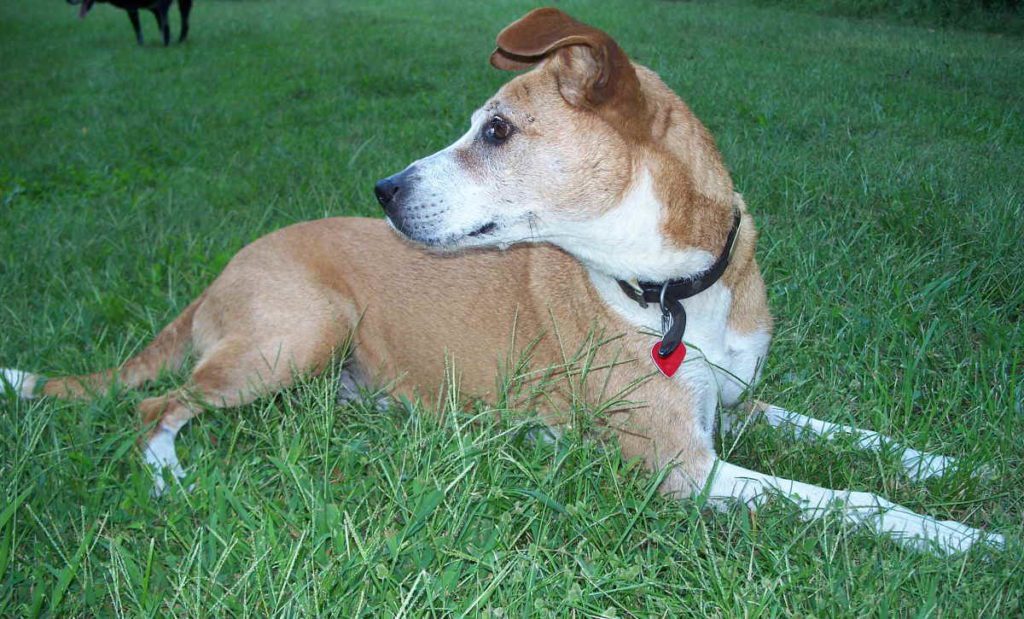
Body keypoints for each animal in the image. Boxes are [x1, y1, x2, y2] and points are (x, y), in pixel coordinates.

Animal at [4, 7, 1003, 553]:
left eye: (496, 132)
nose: (384, 190)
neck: (673, 291)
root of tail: (222, 270)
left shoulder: (735, 401)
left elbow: (858, 438)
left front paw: (960, 467)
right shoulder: (686, 467)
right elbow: (854, 499)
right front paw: (968, 537)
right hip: (302, 329)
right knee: (154, 404)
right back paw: (171, 476)